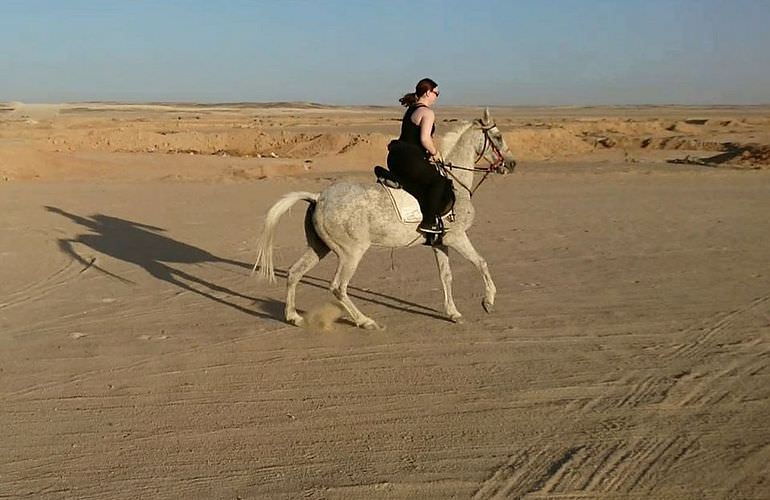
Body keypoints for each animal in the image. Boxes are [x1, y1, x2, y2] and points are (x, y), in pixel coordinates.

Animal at [254, 107, 516, 330]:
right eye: (498, 137)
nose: (512, 164)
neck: (455, 184)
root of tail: (318, 197)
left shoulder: (440, 243)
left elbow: (446, 276)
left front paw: (453, 313)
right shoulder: (456, 237)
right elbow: (481, 262)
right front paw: (488, 302)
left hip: (319, 247)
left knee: (294, 272)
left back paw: (294, 317)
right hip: (351, 252)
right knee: (338, 287)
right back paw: (365, 321)